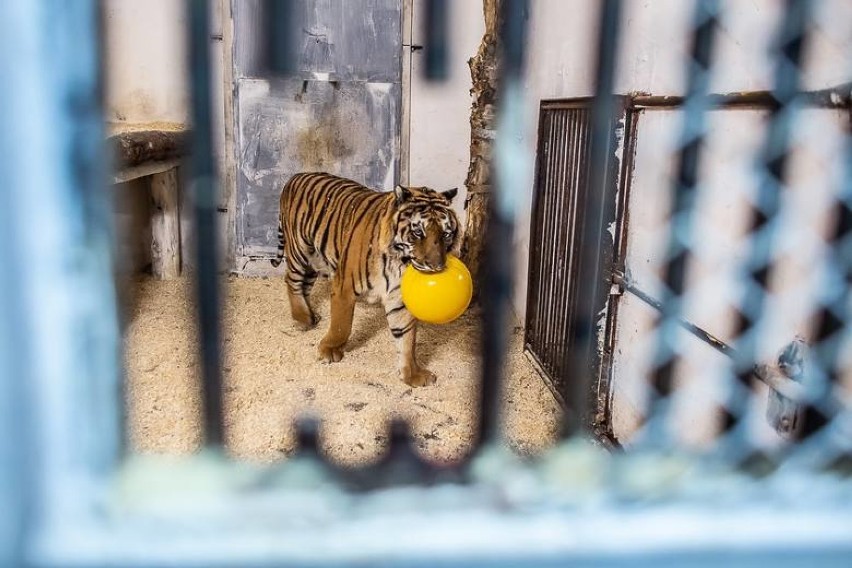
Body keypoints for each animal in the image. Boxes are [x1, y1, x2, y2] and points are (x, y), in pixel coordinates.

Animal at [272, 171, 460, 388]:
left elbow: (406, 337)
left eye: (446, 234)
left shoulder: (399, 299)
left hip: (315, 262)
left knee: (305, 286)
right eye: (418, 232)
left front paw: (412, 374)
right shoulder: (344, 287)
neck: (400, 262)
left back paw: (311, 315)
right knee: (292, 280)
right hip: (300, 251)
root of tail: (296, 176)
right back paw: (302, 318)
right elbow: (341, 325)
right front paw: (329, 350)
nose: (436, 266)